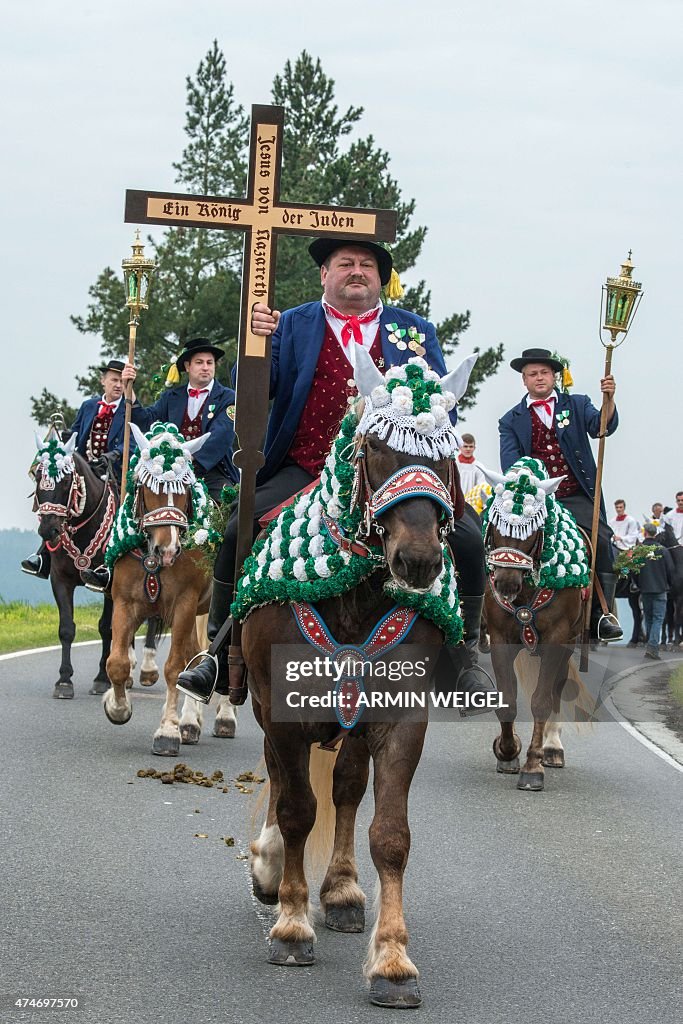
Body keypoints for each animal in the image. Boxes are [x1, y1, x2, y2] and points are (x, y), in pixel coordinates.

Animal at [102, 421, 239, 753]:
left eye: (184, 490)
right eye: (146, 487)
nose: (168, 548)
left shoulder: (183, 605)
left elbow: (175, 667)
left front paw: (167, 731)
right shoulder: (124, 603)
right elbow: (117, 663)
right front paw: (117, 707)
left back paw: (221, 717)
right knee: (198, 652)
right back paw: (191, 721)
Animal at [240, 346, 475, 1007]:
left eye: (447, 452)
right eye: (374, 448)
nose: (417, 560)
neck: (353, 592)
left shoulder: (400, 719)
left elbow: (389, 834)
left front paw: (393, 962)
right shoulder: (283, 711)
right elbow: (297, 809)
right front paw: (291, 927)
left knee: (346, 788)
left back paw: (342, 891)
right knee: (284, 783)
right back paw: (272, 871)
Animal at [481, 460, 593, 794]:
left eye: (534, 530)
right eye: (496, 525)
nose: (506, 584)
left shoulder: (557, 639)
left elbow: (541, 701)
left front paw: (532, 767)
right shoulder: (501, 639)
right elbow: (507, 698)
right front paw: (507, 752)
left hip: (567, 644)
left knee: (556, 689)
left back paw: (551, 748)